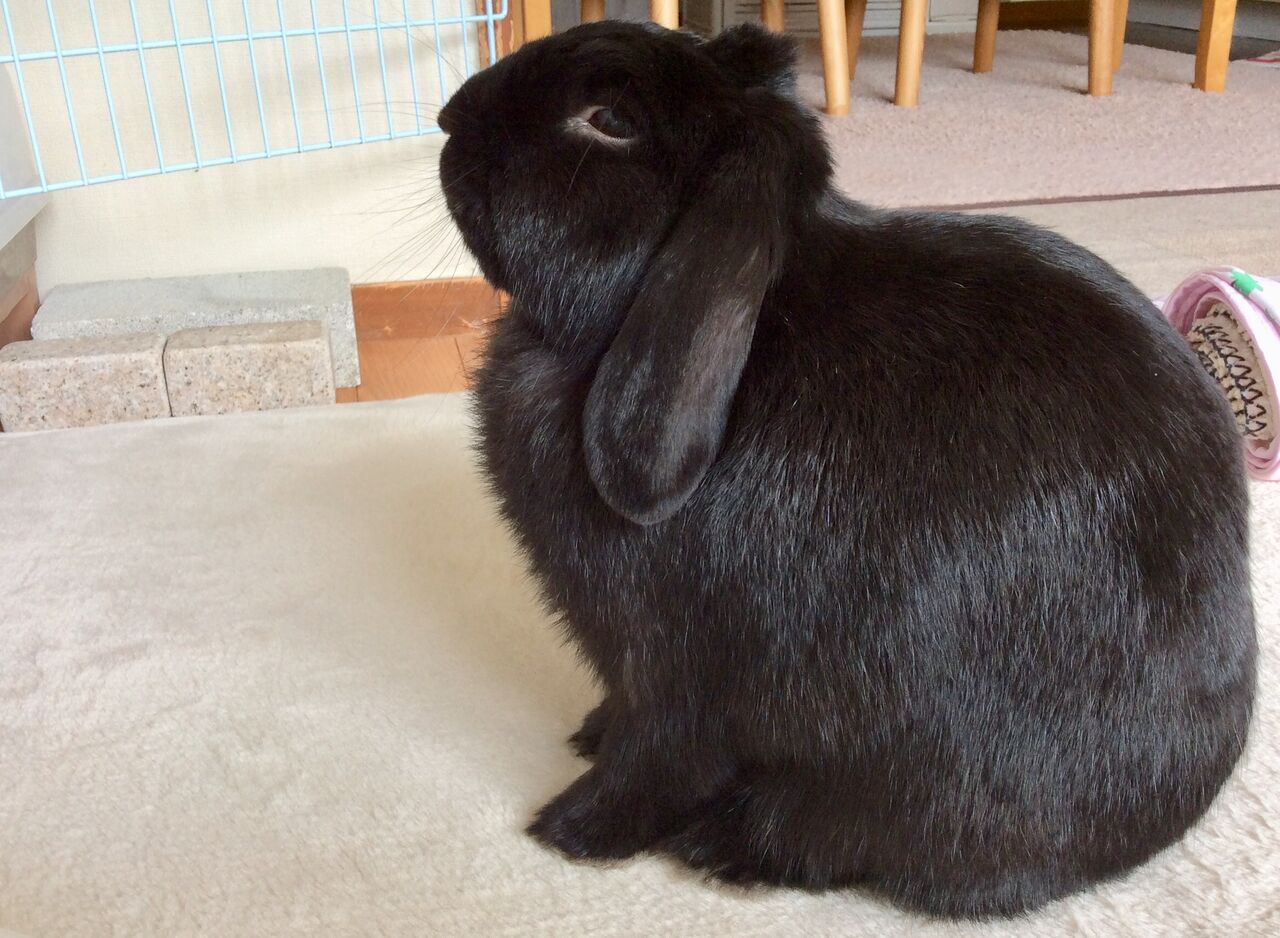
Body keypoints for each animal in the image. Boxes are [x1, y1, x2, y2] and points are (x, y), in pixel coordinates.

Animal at [437, 21, 1256, 919]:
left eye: (608, 120)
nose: (448, 117)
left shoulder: (671, 670)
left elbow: (653, 759)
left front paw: (567, 828)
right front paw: (587, 736)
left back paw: (723, 847)